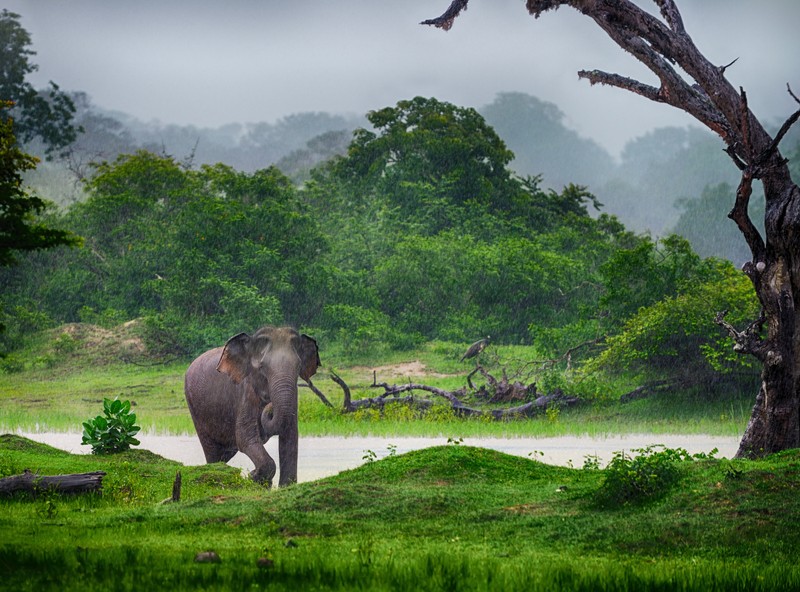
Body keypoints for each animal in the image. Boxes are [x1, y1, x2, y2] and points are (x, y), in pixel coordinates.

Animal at [184, 326, 318, 488]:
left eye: (298, 366)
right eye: (262, 367)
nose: (270, 405)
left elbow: (290, 435)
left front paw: (283, 486)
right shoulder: (245, 392)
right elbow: (244, 437)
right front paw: (253, 476)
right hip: (195, 408)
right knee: (212, 451)